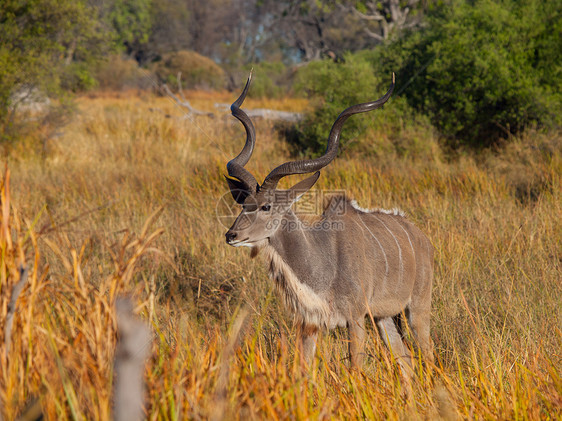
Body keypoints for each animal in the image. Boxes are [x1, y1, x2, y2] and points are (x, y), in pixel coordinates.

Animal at [223, 73, 434, 378]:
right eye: (242, 203)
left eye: (266, 206)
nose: (232, 235)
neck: (321, 262)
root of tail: (423, 239)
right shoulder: (309, 324)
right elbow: (303, 369)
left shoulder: (355, 319)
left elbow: (355, 367)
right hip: (383, 317)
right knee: (405, 360)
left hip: (417, 309)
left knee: (427, 354)